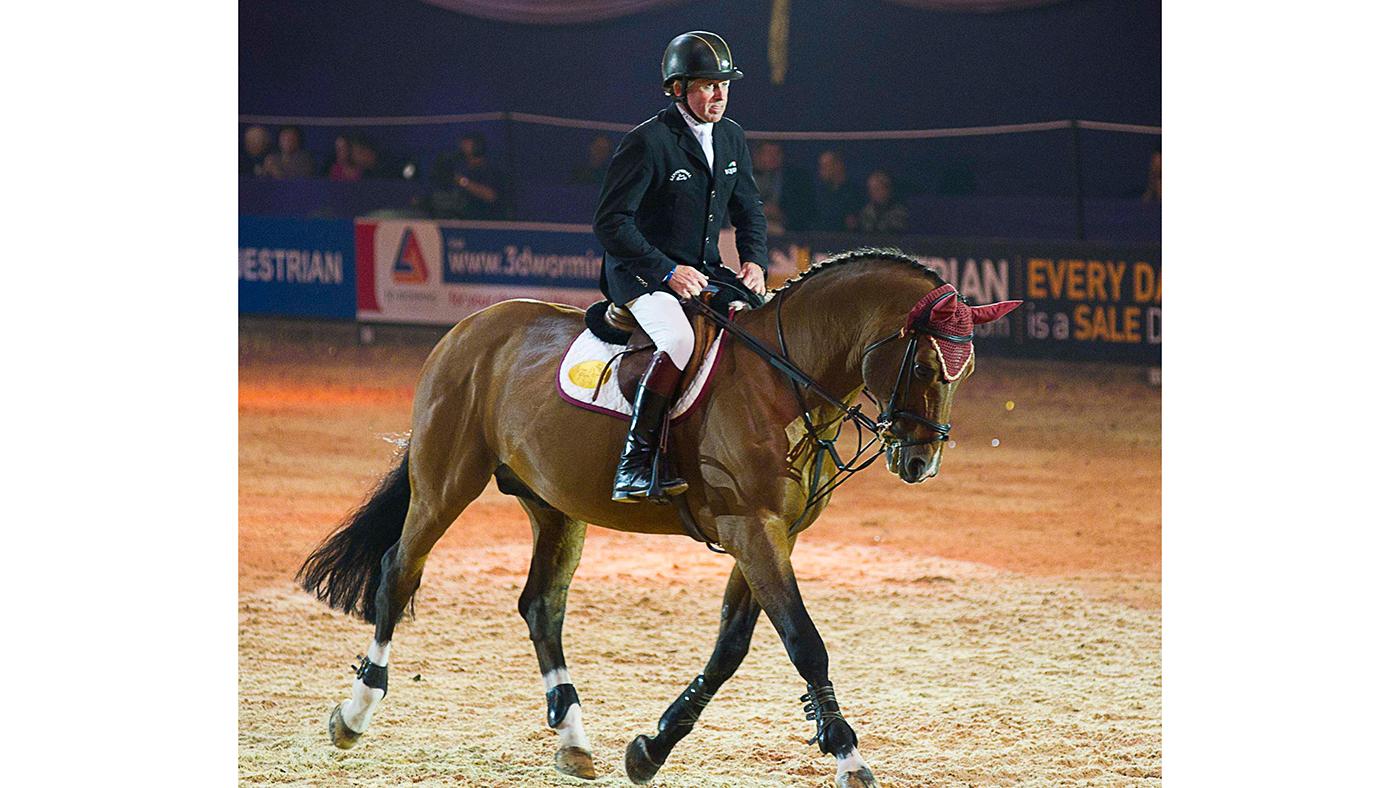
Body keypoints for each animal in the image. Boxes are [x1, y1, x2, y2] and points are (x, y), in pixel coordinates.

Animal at [298, 247, 1019, 788]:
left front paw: (651, 749)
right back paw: (354, 714)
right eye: (924, 363)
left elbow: (730, 648)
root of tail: (471, 328)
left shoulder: (770, 534)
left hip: (555, 506)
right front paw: (849, 758)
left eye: (964, 371)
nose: (920, 460)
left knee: (541, 606)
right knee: (399, 571)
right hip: (447, 480)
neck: (784, 385)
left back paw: (573, 738)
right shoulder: (751, 529)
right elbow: (804, 643)